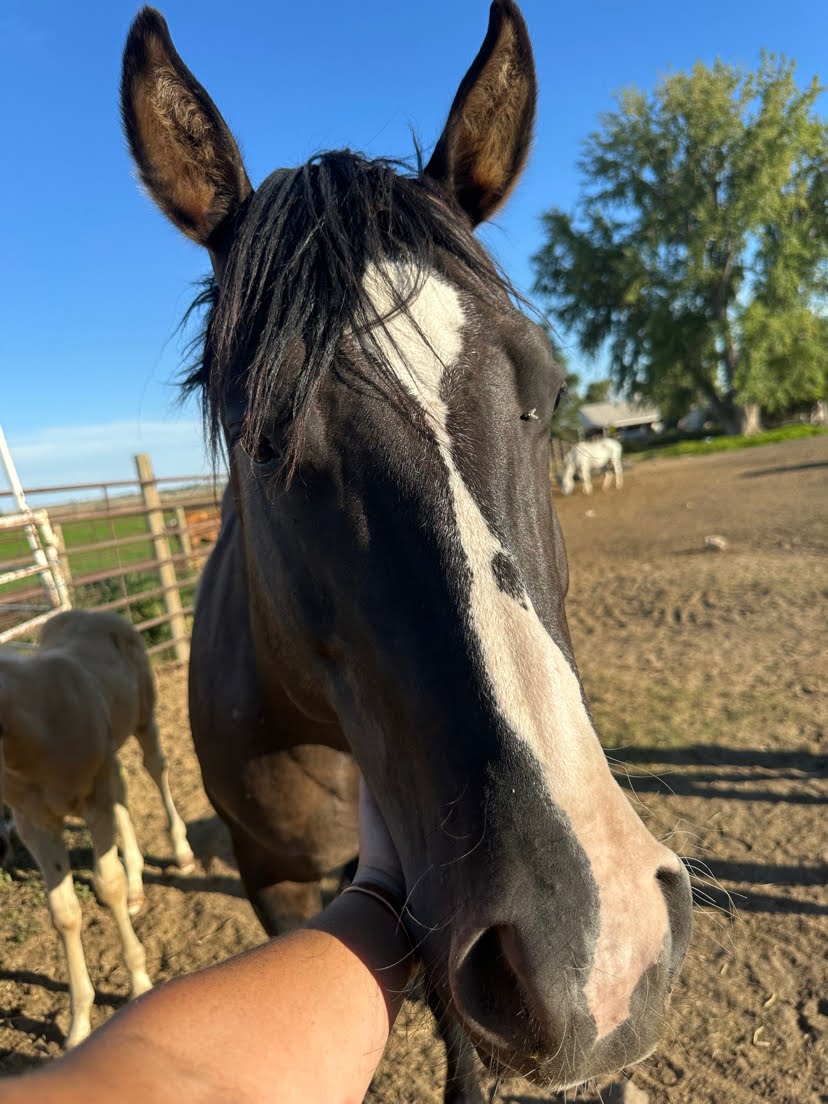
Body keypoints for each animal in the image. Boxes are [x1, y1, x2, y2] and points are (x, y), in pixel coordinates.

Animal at [0, 609, 194, 1048]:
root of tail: (91, 614)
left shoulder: (93, 802)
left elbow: (108, 884)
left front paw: (139, 983)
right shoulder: (36, 826)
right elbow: (65, 912)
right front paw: (79, 1025)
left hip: (143, 723)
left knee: (156, 770)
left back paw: (182, 853)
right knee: (123, 802)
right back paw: (138, 889)